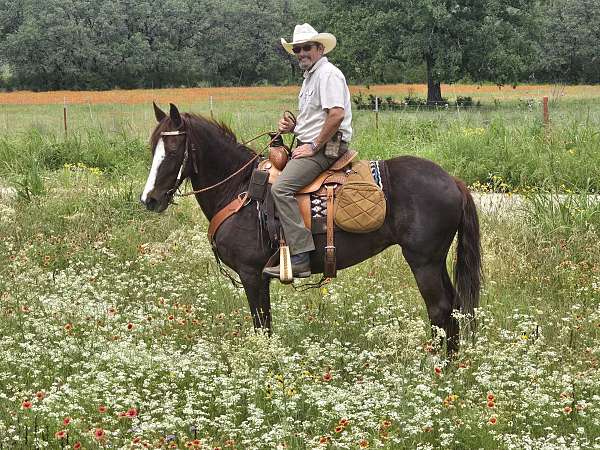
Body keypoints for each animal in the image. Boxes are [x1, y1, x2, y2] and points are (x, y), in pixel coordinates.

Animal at [141, 103, 482, 356]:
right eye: (152, 147)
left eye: (174, 150)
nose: (150, 199)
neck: (240, 190)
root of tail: (453, 180)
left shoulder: (252, 275)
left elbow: (262, 326)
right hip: (435, 261)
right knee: (453, 310)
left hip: (423, 262)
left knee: (439, 310)